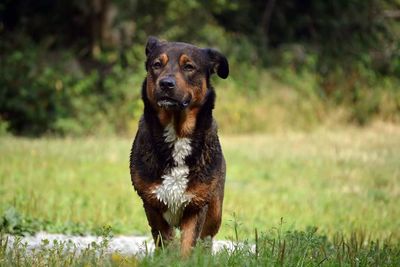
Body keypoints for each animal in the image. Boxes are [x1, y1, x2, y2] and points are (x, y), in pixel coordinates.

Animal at [130, 36, 228, 256]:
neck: (177, 134)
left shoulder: (196, 205)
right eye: (157, 65)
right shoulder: (152, 202)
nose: (166, 83)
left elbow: (188, 245)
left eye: (189, 67)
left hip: (215, 210)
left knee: (206, 239)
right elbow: (166, 242)